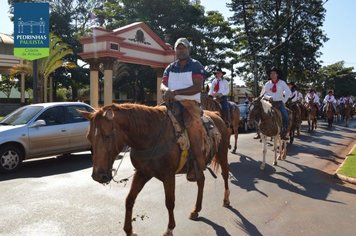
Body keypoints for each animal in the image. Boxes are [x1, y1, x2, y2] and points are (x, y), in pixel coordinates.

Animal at [79, 103, 231, 236]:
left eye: (107, 136)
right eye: (88, 137)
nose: (98, 176)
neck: (151, 136)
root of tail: (216, 115)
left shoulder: (168, 176)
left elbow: (169, 202)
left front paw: (169, 229)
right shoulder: (142, 173)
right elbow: (129, 200)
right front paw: (129, 230)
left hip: (222, 152)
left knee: (224, 174)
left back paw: (226, 199)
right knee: (201, 181)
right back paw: (196, 210)